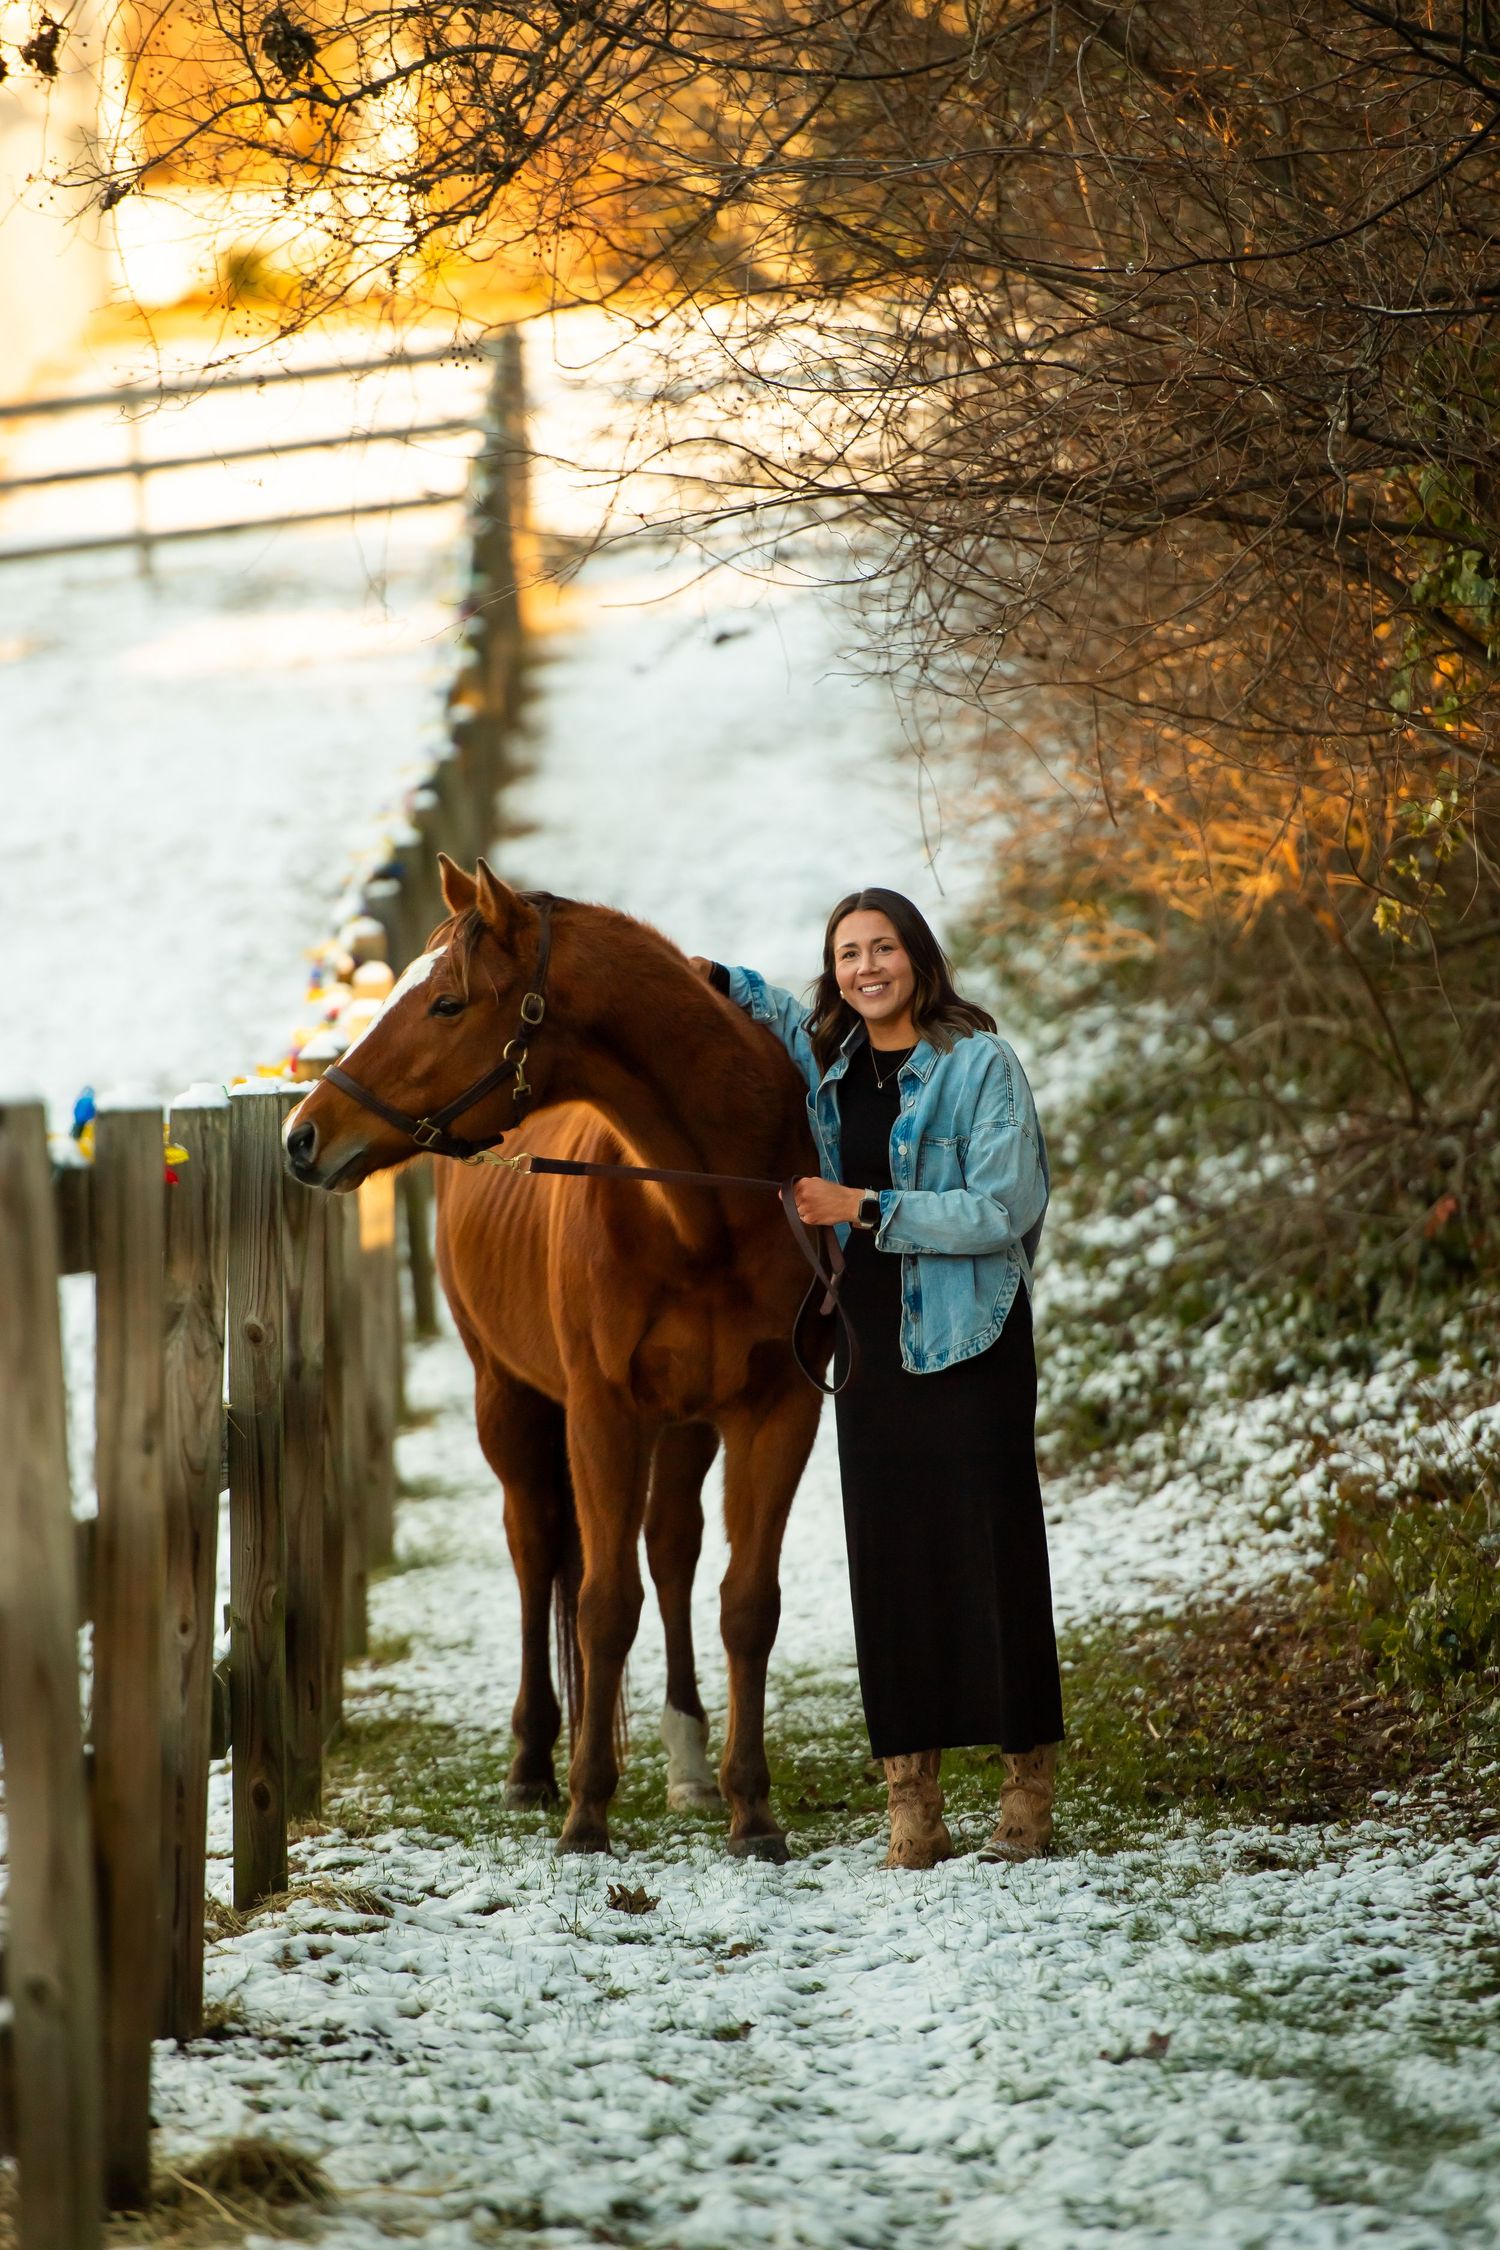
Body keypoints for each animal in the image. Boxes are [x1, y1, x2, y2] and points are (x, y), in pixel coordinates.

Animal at [283, 856, 827, 1859]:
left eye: (447, 1003)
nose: (303, 1135)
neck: (704, 1207)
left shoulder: (777, 1413)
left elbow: (746, 1604)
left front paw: (751, 1808)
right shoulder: (603, 1415)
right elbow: (603, 1607)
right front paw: (586, 1810)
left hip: (683, 1426)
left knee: (671, 1550)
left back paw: (688, 1763)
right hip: (509, 1403)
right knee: (538, 1554)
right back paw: (535, 1761)